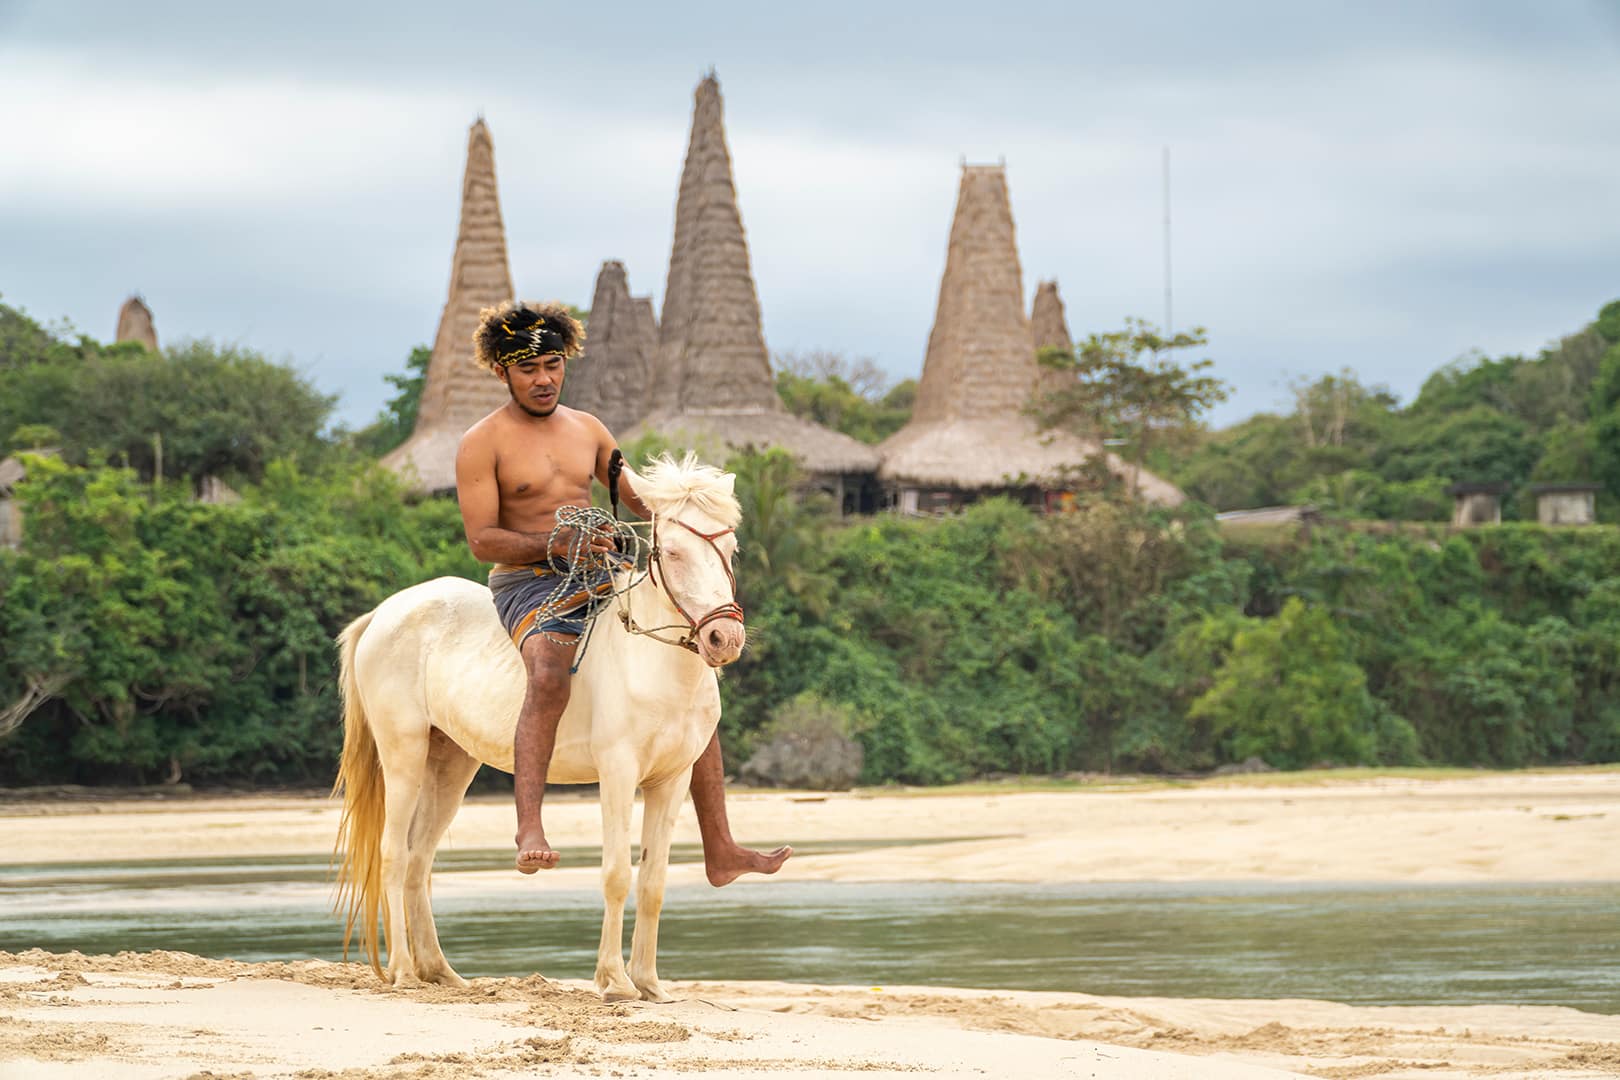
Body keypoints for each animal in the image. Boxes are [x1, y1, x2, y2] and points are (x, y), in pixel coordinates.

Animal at [330, 456, 745, 1003]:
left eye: (730, 549)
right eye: (673, 552)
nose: (724, 637)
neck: (651, 661)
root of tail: (384, 612)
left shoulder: (671, 780)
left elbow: (653, 881)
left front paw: (650, 983)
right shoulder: (618, 773)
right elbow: (617, 873)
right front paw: (614, 981)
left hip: (451, 763)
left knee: (420, 859)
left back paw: (440, 972)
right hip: (404, 755)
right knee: (394, 855)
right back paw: (402, 970)